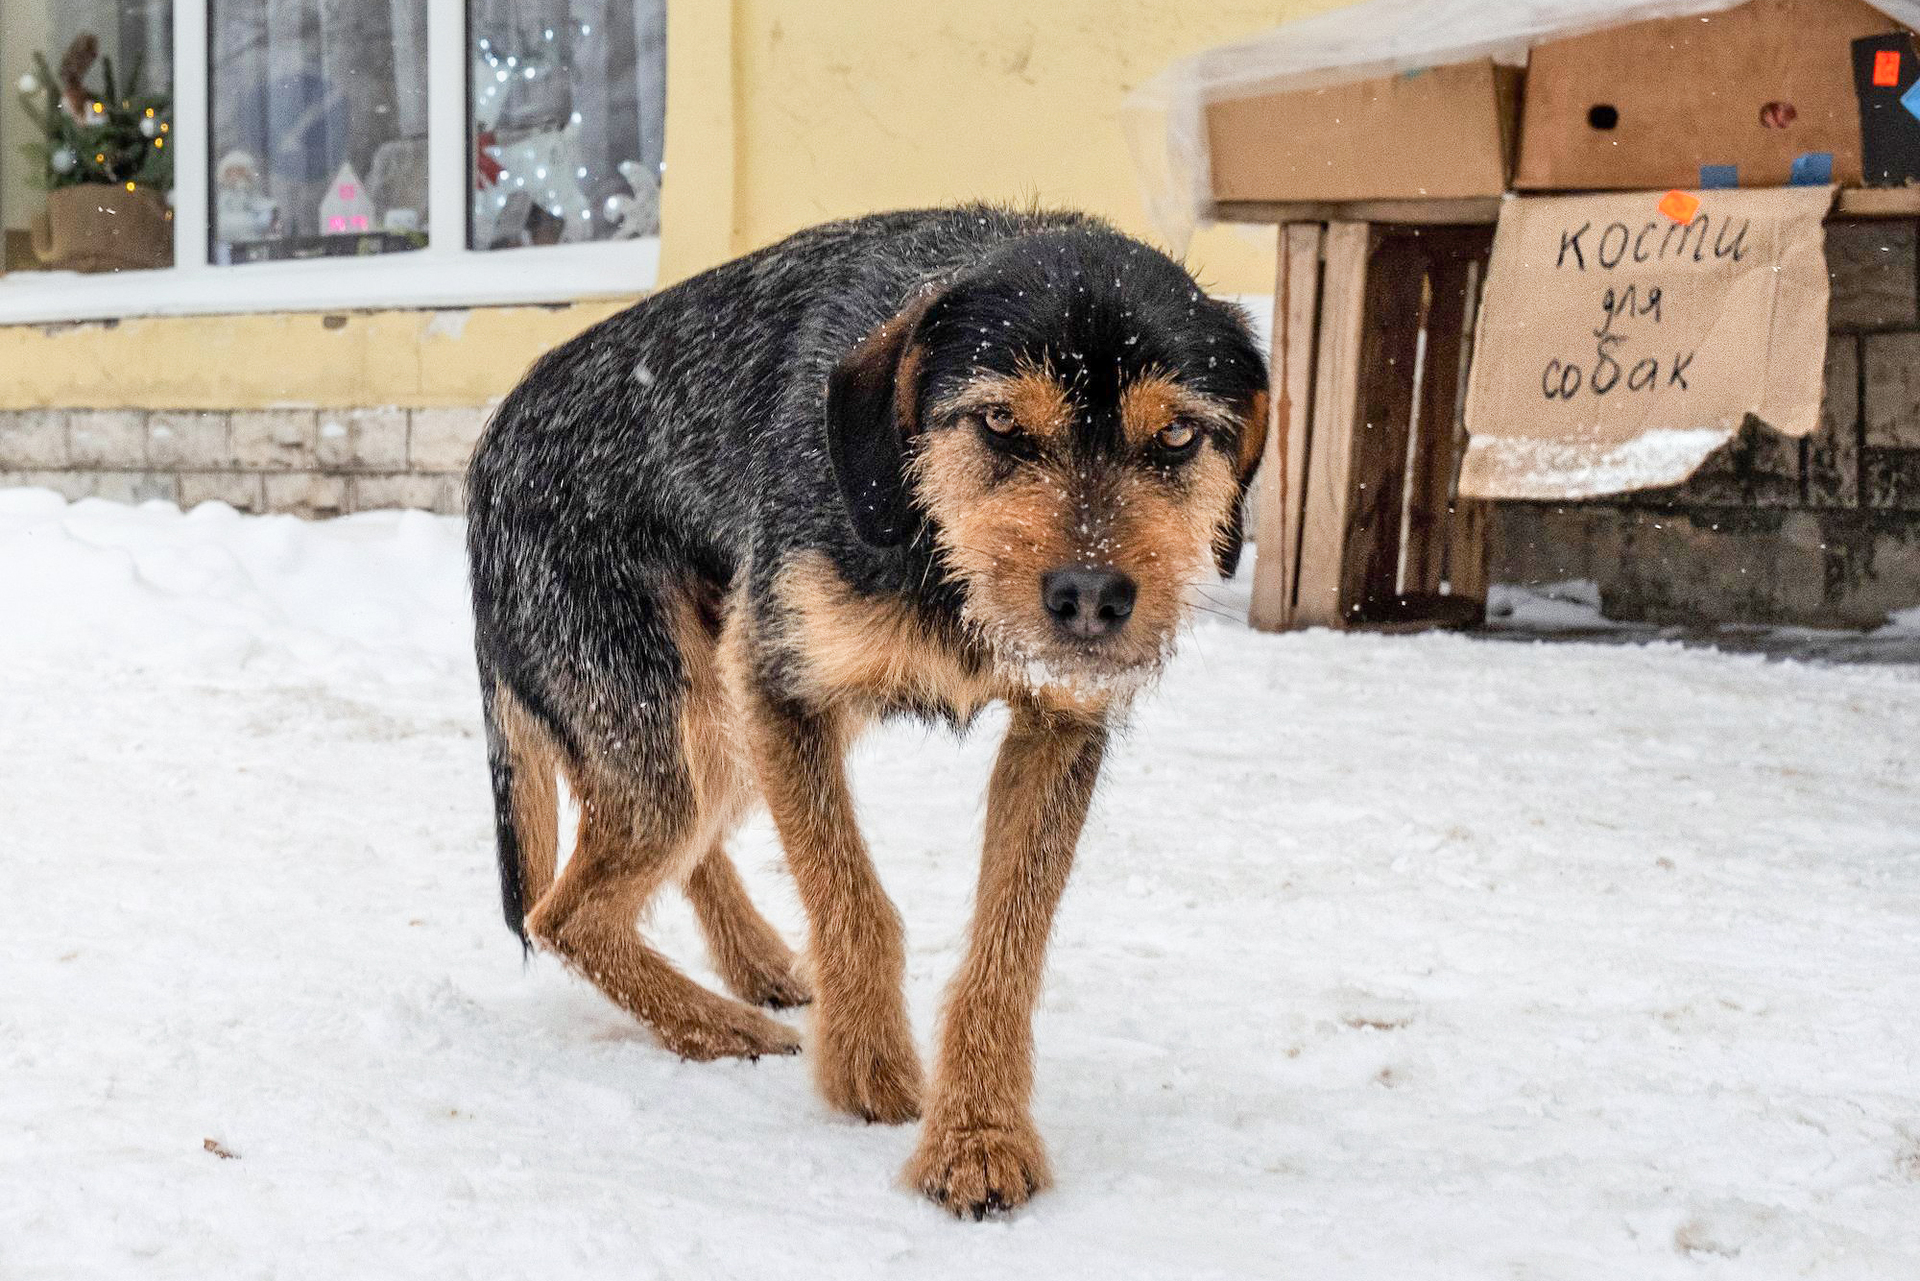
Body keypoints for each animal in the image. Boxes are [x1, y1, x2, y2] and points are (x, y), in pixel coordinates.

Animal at [462, 205, 1267, 1221]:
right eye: (1000, 421)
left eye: (1176, 438)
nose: (1091, 597)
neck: (937, 554)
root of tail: (489, 443)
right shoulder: (781, 686)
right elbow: (849, 896)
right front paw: (868, 1070)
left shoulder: (1057, 726)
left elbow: (1007, 947)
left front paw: (979, 1134)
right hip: (678, 713)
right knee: (564, 913)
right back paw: (721, 1027)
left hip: (714, 732)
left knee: (657, 862)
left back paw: (755, 966)